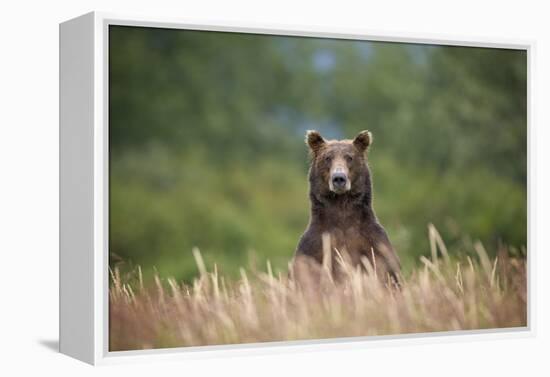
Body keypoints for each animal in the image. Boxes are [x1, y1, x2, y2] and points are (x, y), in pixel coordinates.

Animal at [296, 129, 404, 284]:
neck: (341, 206)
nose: (339, 178)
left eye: (349, 157)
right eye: (327, 158)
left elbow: (389, 274)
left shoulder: (375, 245)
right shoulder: (314, 248)